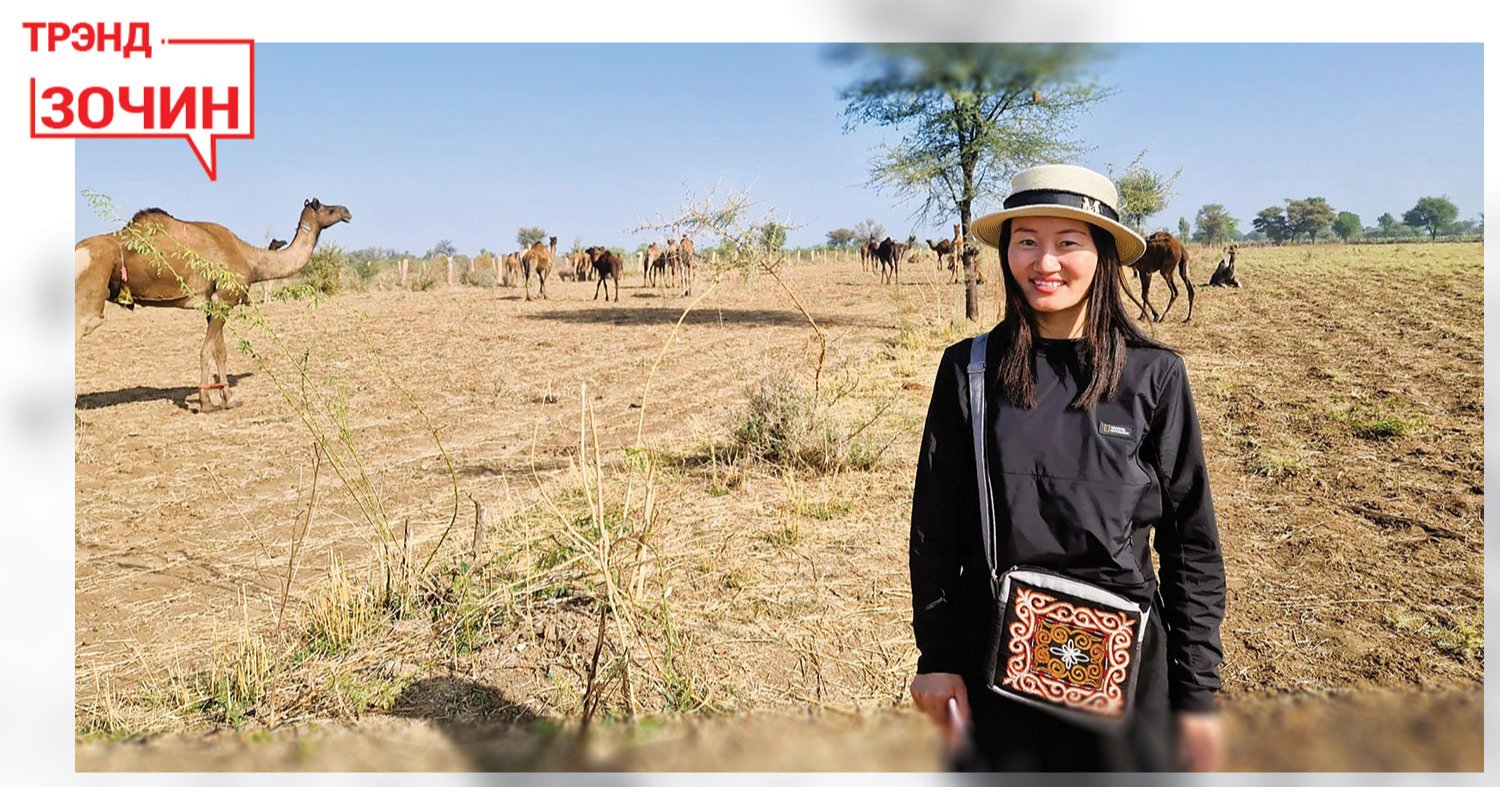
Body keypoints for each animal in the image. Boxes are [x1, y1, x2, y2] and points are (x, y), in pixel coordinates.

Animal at [75, 197, 351, 410]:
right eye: (326, 208)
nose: (346, 211)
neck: (251, 259)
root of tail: (79, 250)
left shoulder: (214, 304)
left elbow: (221, 352)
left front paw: (229, 399)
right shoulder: (225, 299)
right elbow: (207, 351)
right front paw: (207, 402)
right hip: (90, 296)